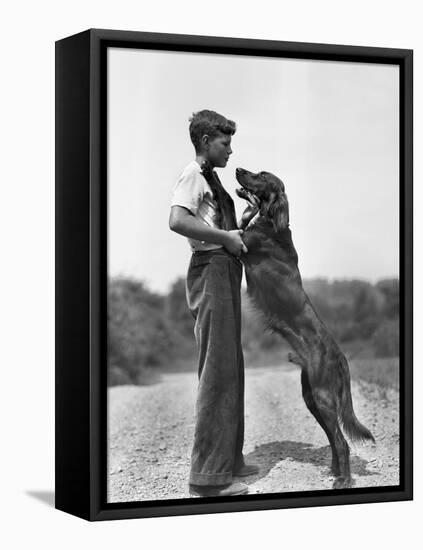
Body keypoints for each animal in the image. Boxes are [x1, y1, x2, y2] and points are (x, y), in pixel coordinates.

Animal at [204, 165, 376, 492]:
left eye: (261, 175)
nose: (238, 168)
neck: (272, 224)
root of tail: (339, 356)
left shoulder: (239, 244)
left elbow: (228, 216)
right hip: (312, 397)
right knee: (333, 439)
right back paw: (334, 471)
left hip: (323, 396)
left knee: (341, 441)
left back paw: (343, 480)